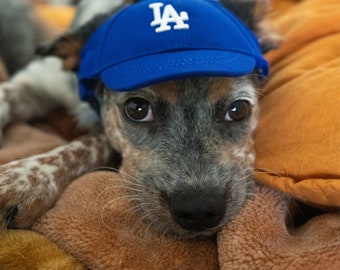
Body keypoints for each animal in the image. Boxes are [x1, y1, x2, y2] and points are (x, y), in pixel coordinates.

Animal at [0, 0, 278, 237]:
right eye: (137, 108)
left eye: (238, 109)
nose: (199, 210)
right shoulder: (37, 79)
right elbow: (6, 95)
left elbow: (90, 143)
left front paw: (25, 182)